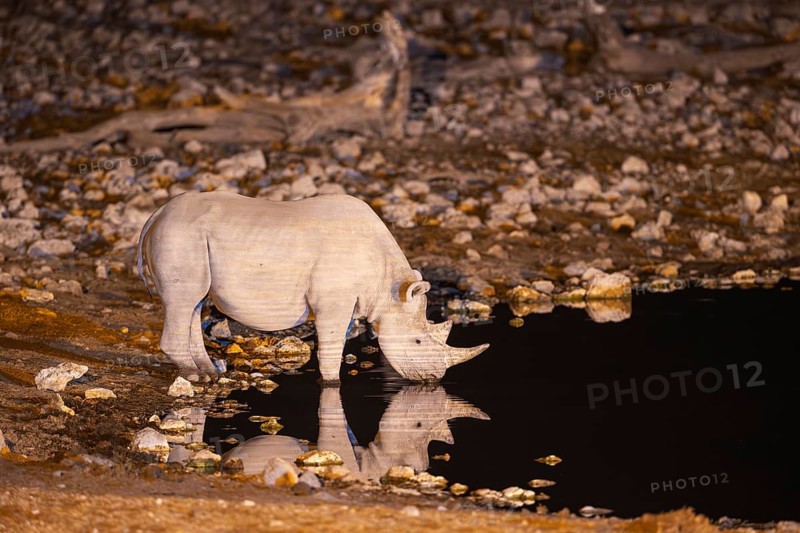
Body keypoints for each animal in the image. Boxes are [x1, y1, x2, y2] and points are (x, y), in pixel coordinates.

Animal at [137, 191, 489, 382]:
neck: (389, 288)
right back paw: (195, 375)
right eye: (417, 341)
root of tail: (156, 215)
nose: (433, 379)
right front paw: (332, 385)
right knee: (185, 301)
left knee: (193, 304)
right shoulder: (332, 301)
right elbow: (330, 354)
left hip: (187, 236)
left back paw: (210, 373)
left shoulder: (347, 301)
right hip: (180, 235)